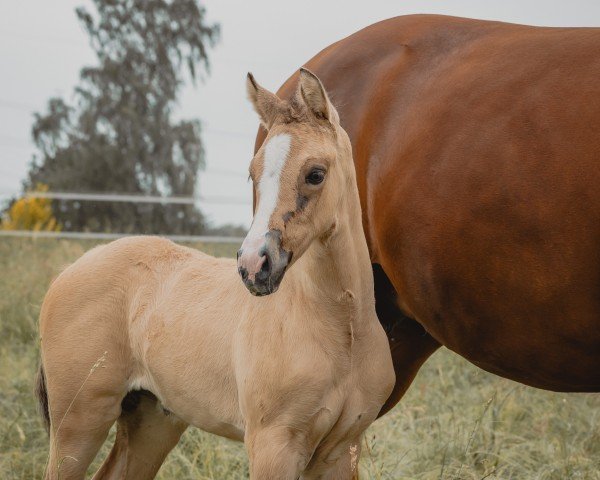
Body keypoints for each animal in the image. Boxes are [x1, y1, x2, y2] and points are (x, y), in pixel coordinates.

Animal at [36, 68, 394, 480]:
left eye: (315, 174)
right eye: (253, 173)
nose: (253, 265)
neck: (340, 329)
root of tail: (68, 272)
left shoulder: (341, 450)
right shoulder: (273, 446)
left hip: (152, 419)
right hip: (78, 423)